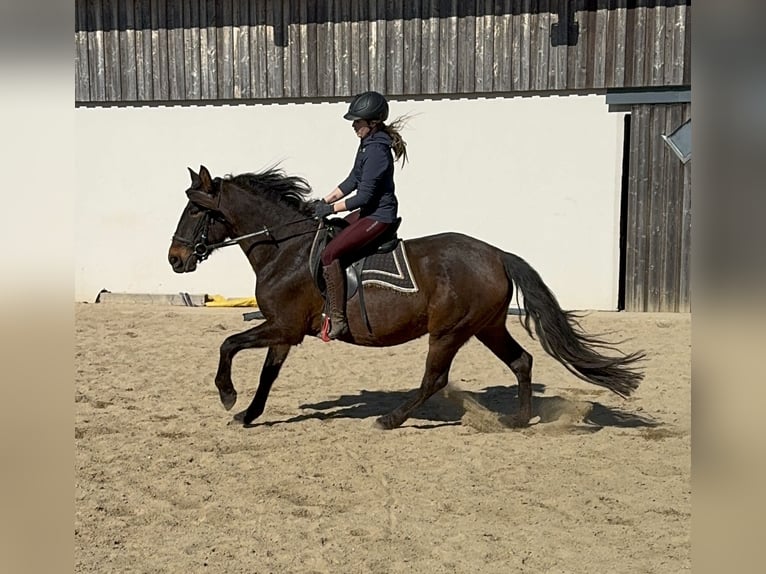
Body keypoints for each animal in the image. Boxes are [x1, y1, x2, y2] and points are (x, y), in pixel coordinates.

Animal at [170, 164, 648, 430]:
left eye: (194, 210)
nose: (175, 259)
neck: (284, 248)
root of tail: (496, 253)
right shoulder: (284, 333)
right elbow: (267, 375)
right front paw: (248, 415)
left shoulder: (282, 327)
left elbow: (228, 344)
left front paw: (227, 395)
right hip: (487, 326)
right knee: (522, 362)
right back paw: (517, 419)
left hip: (449, 332)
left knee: (434, 379)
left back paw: (392, 419)